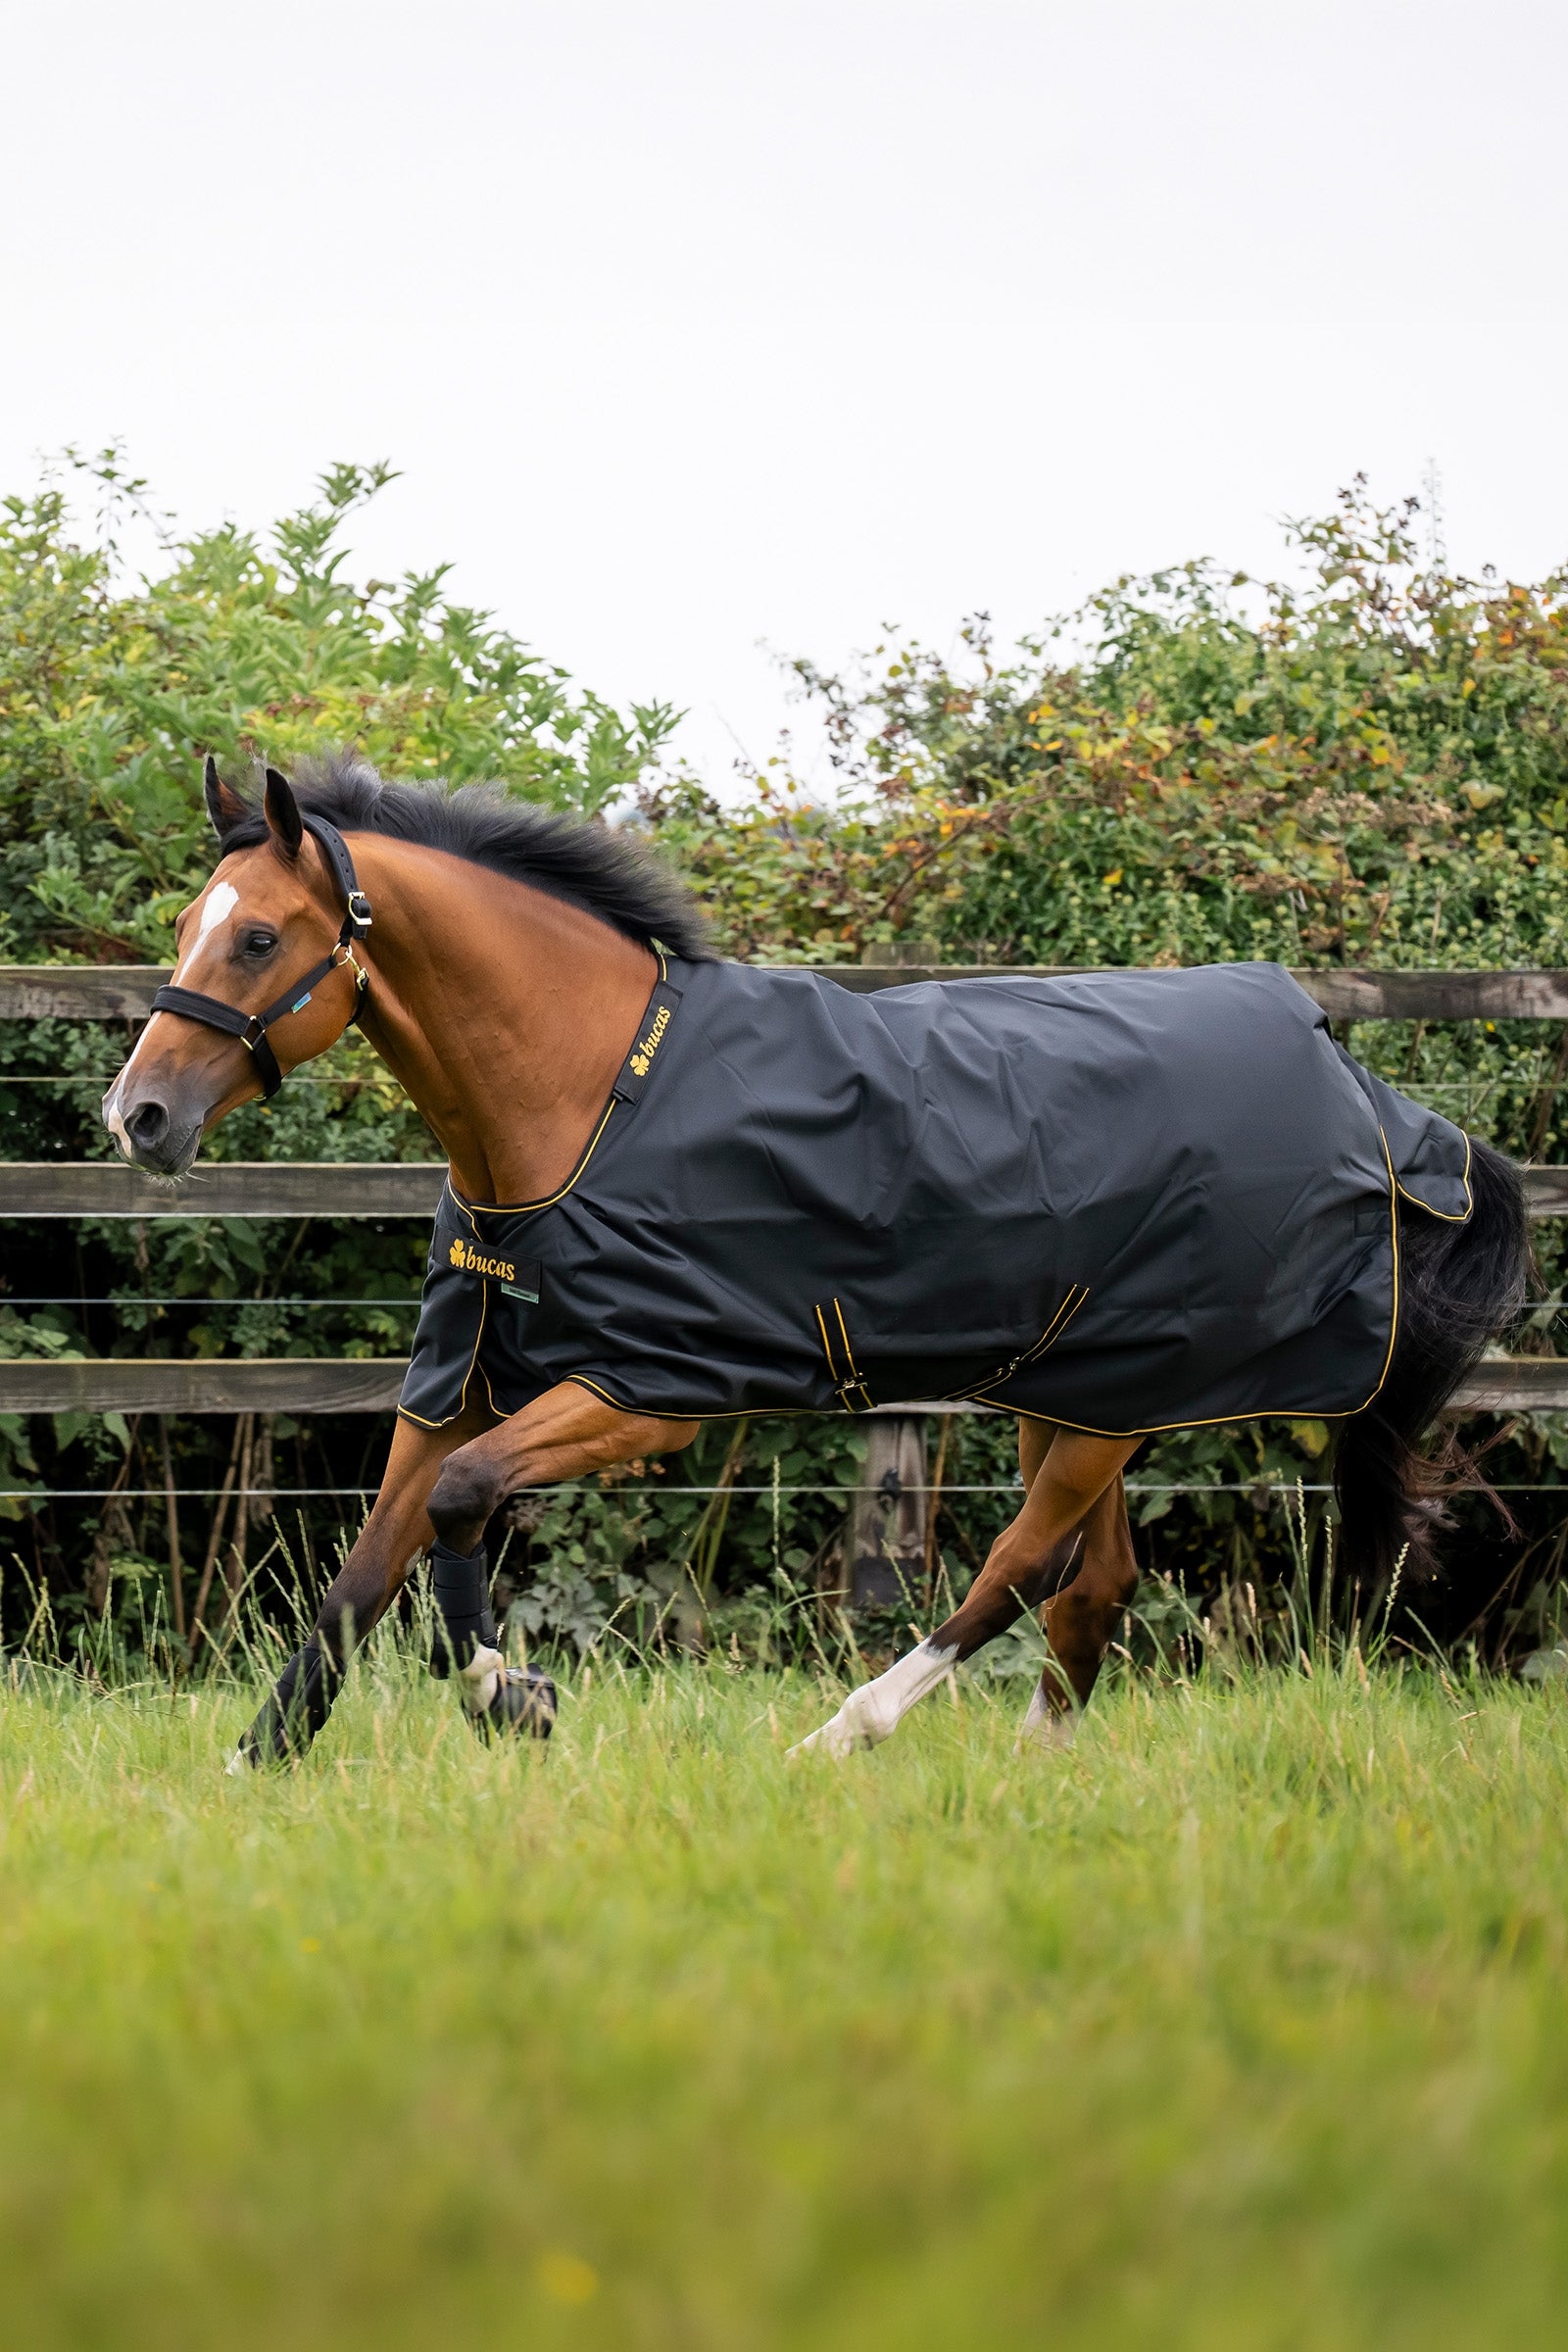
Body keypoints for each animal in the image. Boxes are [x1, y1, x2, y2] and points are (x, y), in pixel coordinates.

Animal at [102, 754, 1529, 1764]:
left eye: (259, 939)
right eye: (185, 925)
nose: (139, 1119)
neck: (590, 1098)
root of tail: (1359, 1086)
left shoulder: (645, 1394)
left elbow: (461, 1508)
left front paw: (515, 1695)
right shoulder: (456, 1389)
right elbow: (358, 1582)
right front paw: (257, 1767)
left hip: (1117, 1398)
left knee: (1022, 1569)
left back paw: (846, 1732)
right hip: (1084, 1386)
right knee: (1093, 1584)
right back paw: (1030, 1770)